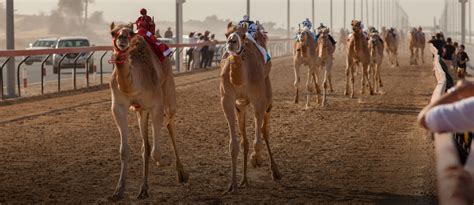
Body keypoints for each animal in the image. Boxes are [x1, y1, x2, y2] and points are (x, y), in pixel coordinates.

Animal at [108, 22, 188, 200]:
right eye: (113, 32)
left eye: (130, 32)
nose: (122, 38)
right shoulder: (118, 107)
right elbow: (125, 150)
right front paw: (118, 190)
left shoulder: (156, 105)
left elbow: (156, 152)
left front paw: (166, 161)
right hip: (141, 111)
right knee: (145, 145)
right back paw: (144, 189)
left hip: (168, 91)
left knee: (170, 125)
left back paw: (182, 173)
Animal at [219, 22, 280, 192]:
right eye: (226, 34)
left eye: (243, 35)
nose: (231, 42)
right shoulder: (227, 100)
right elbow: (234, 144)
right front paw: (232, 184)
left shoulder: (258, 100)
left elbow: (258, 138)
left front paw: (256, 159)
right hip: (241, 105)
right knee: (244, 141)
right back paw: (243, 181)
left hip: (267, 94)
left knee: (265, 130)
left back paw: (275, 171)